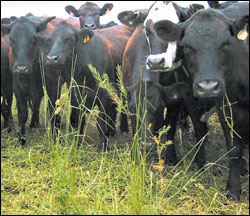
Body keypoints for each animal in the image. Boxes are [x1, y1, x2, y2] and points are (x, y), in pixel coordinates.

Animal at [0, 14, 55, 143]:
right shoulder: (17, 87)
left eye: (33, 38)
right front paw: (21, 138)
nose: (21, 68)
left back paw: (34, 123)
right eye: (11, 39)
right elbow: (22, 113)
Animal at [39, 21, 132, 150]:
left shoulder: (103, 95)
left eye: (70, 39)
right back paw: (112, 130)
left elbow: (101, 121)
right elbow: (78, 120)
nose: (52, 59)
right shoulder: (75, 94)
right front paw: (77, 144)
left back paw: (123, 128)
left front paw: (103, 146)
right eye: (49, 40)